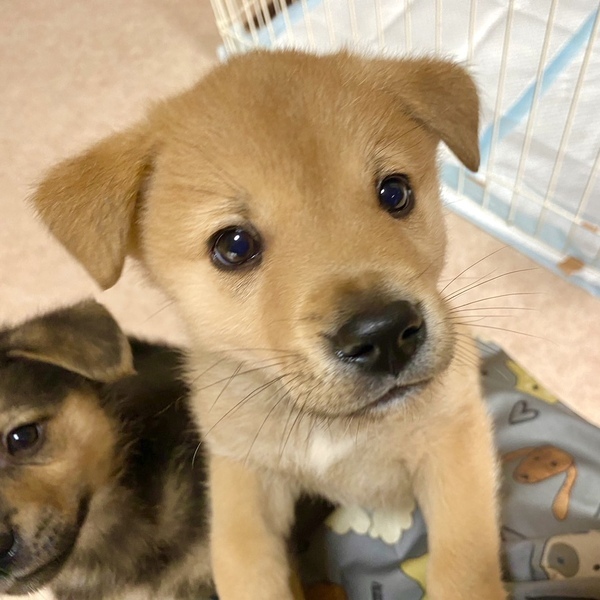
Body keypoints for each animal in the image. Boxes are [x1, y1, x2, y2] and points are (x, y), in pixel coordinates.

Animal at [31, 50, 506, 599]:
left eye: (395, 192)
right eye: (234, 246)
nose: (385, 333)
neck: (337, 427)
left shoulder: (453, 438)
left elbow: (464, 566)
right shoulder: (242, 479)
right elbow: (243, 568)